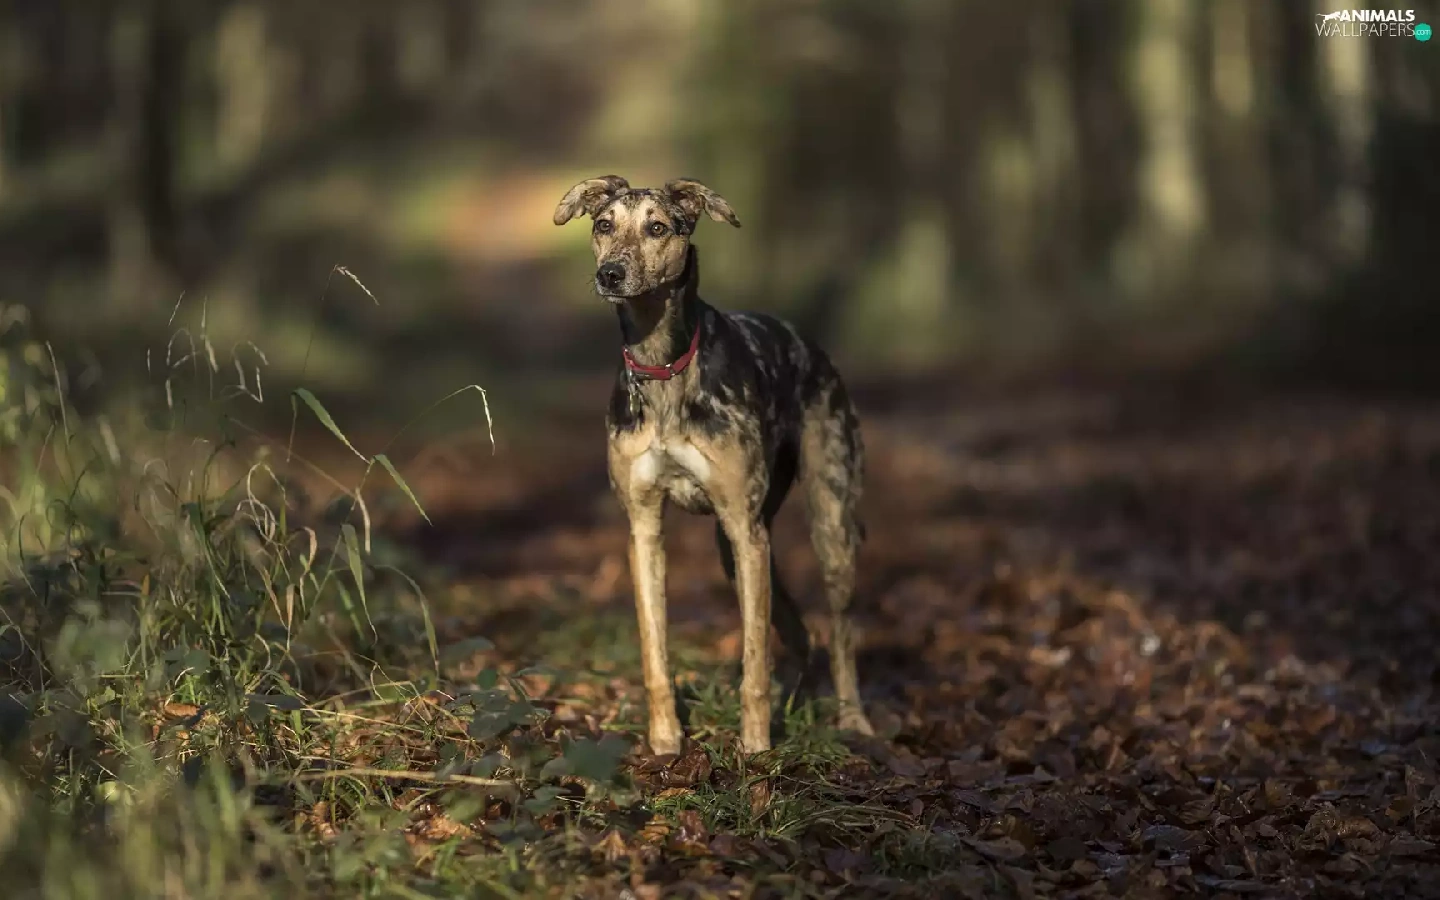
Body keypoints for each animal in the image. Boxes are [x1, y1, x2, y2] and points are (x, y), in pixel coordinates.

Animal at [553, 175, 874, 755]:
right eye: (603, 225)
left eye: (659, 227)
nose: (610, 273)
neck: (662, 366)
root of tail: (809, 344)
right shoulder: (645, 530)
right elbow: (655, 650)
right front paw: (664, 742)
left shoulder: (747, 527)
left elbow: (753, 661)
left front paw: (756, 748)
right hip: (738, 546)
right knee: (799, 630)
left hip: (827, 525)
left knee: (839, 631)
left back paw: (852, 720)